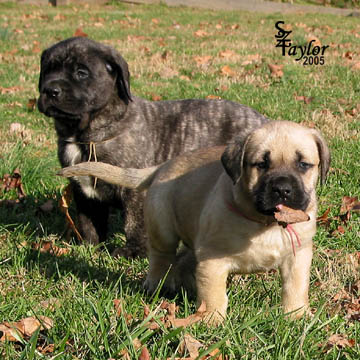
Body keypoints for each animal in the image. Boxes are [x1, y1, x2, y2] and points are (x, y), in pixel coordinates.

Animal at [39, 36, 268, 256]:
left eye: (81, 72)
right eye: (46, 71)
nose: (50, 90)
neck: (84, 135)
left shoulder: (134, 190)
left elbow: (134, 223)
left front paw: (133, 251)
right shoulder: (83, 191)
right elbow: (89, 222)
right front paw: (89, 246)